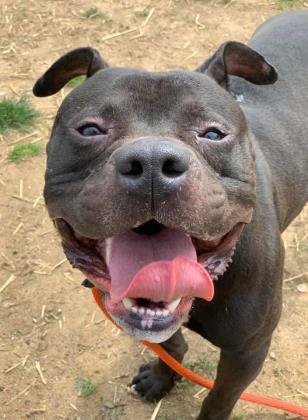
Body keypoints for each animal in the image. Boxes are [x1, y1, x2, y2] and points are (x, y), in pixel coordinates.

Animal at [33, 10, 308, 420]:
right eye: (90, 129)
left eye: (214, 134)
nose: (151, 163)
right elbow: (171, 345)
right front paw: (162, 378)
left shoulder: (248, 351)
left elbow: (219, 398)